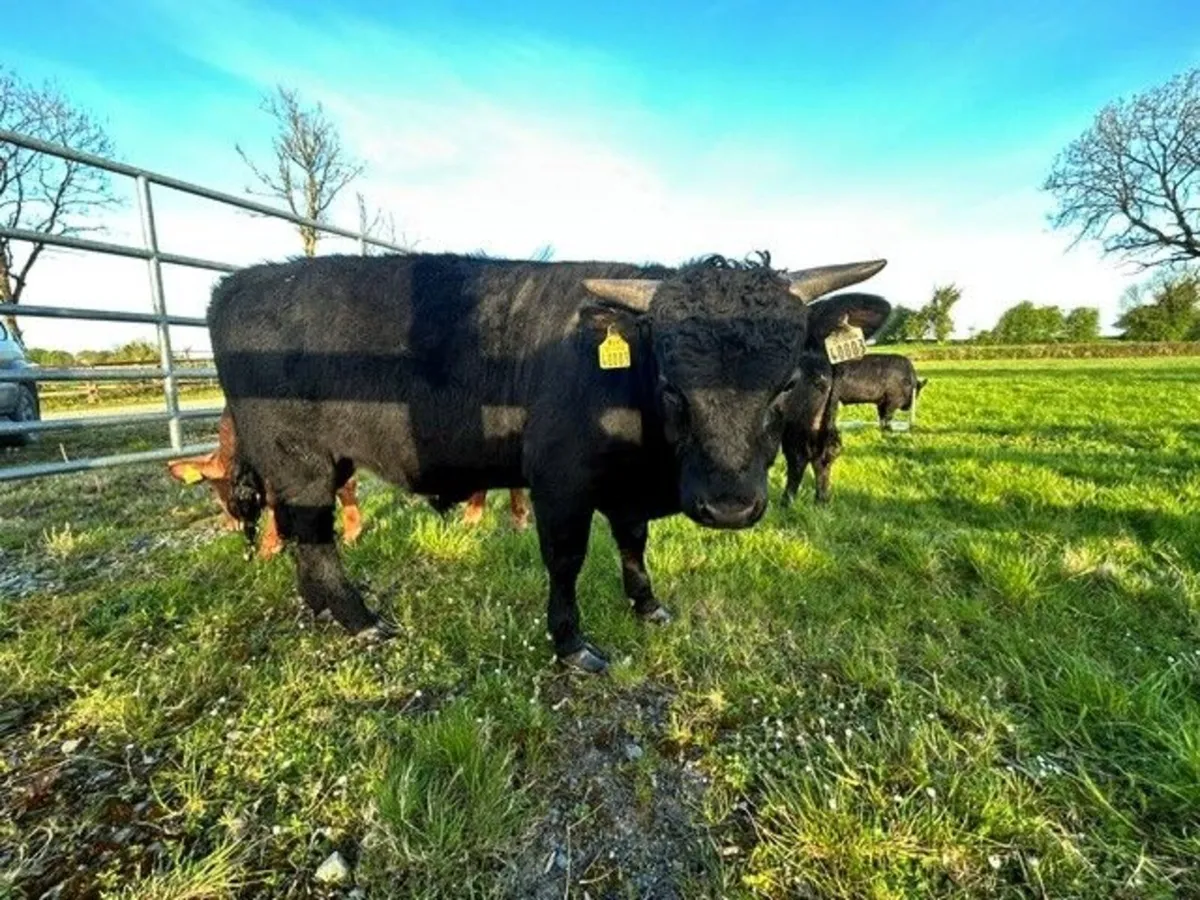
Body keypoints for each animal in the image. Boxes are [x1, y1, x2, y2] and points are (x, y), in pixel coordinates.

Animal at [208, 251, 890, 673]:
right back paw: (361, 620)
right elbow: (566, 560)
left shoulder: (625, 491)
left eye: (784, 384)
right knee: (314, 540)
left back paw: (327, 611)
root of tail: (239, 284)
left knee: (303, 541)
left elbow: (633, 543)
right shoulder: (560, 483)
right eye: (671, 385)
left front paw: (647, 605)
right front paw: (571, 643)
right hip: (299, 462)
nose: (728, 506)